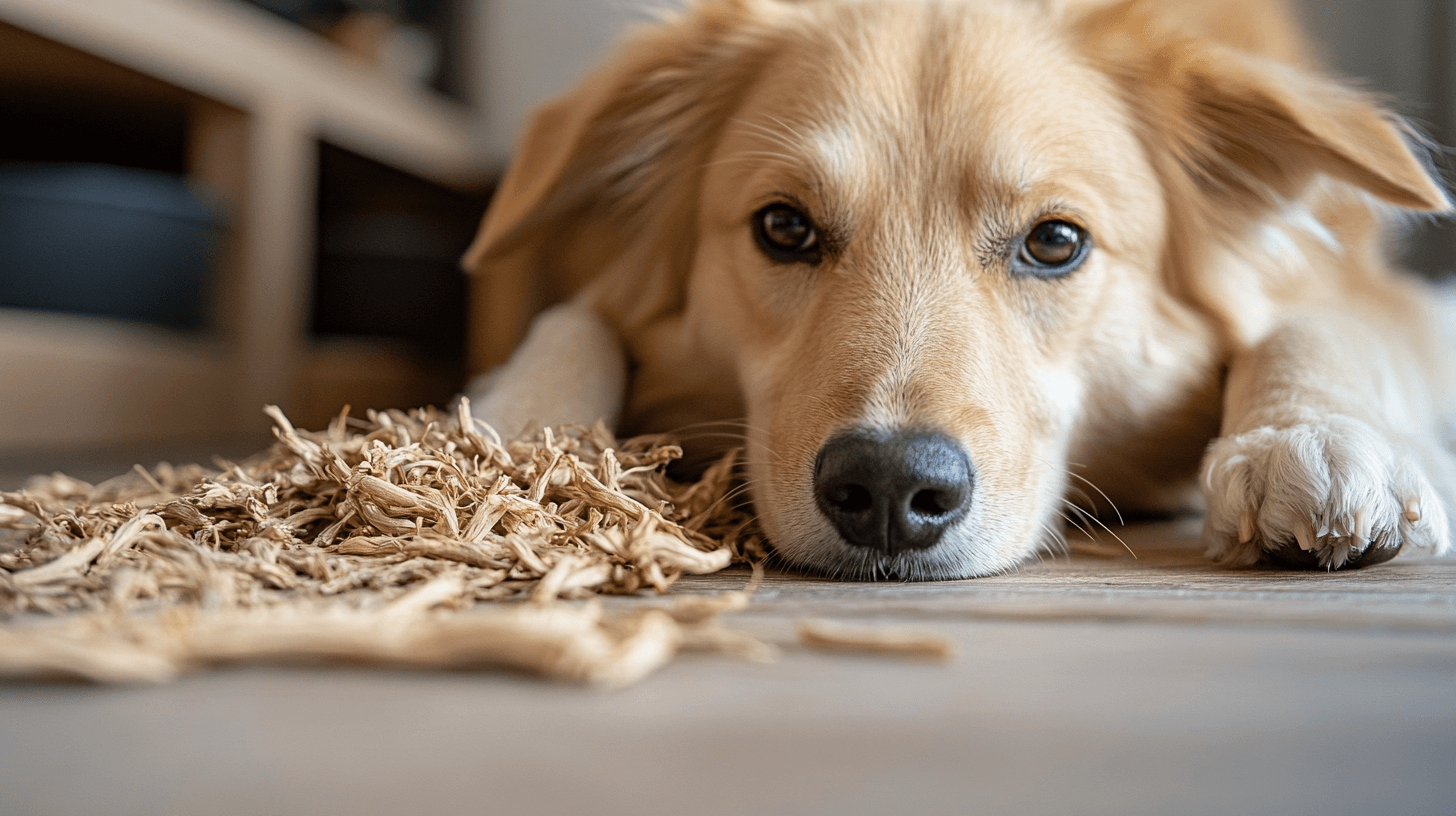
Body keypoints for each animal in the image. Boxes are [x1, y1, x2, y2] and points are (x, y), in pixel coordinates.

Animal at [457, 0, 1456, 579]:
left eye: (1055, 242)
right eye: (784, 228)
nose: (889, 488)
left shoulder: (1374, 294)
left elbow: (1316, 323)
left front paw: (1310, 437)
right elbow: (575, 314)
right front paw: (513, 434)